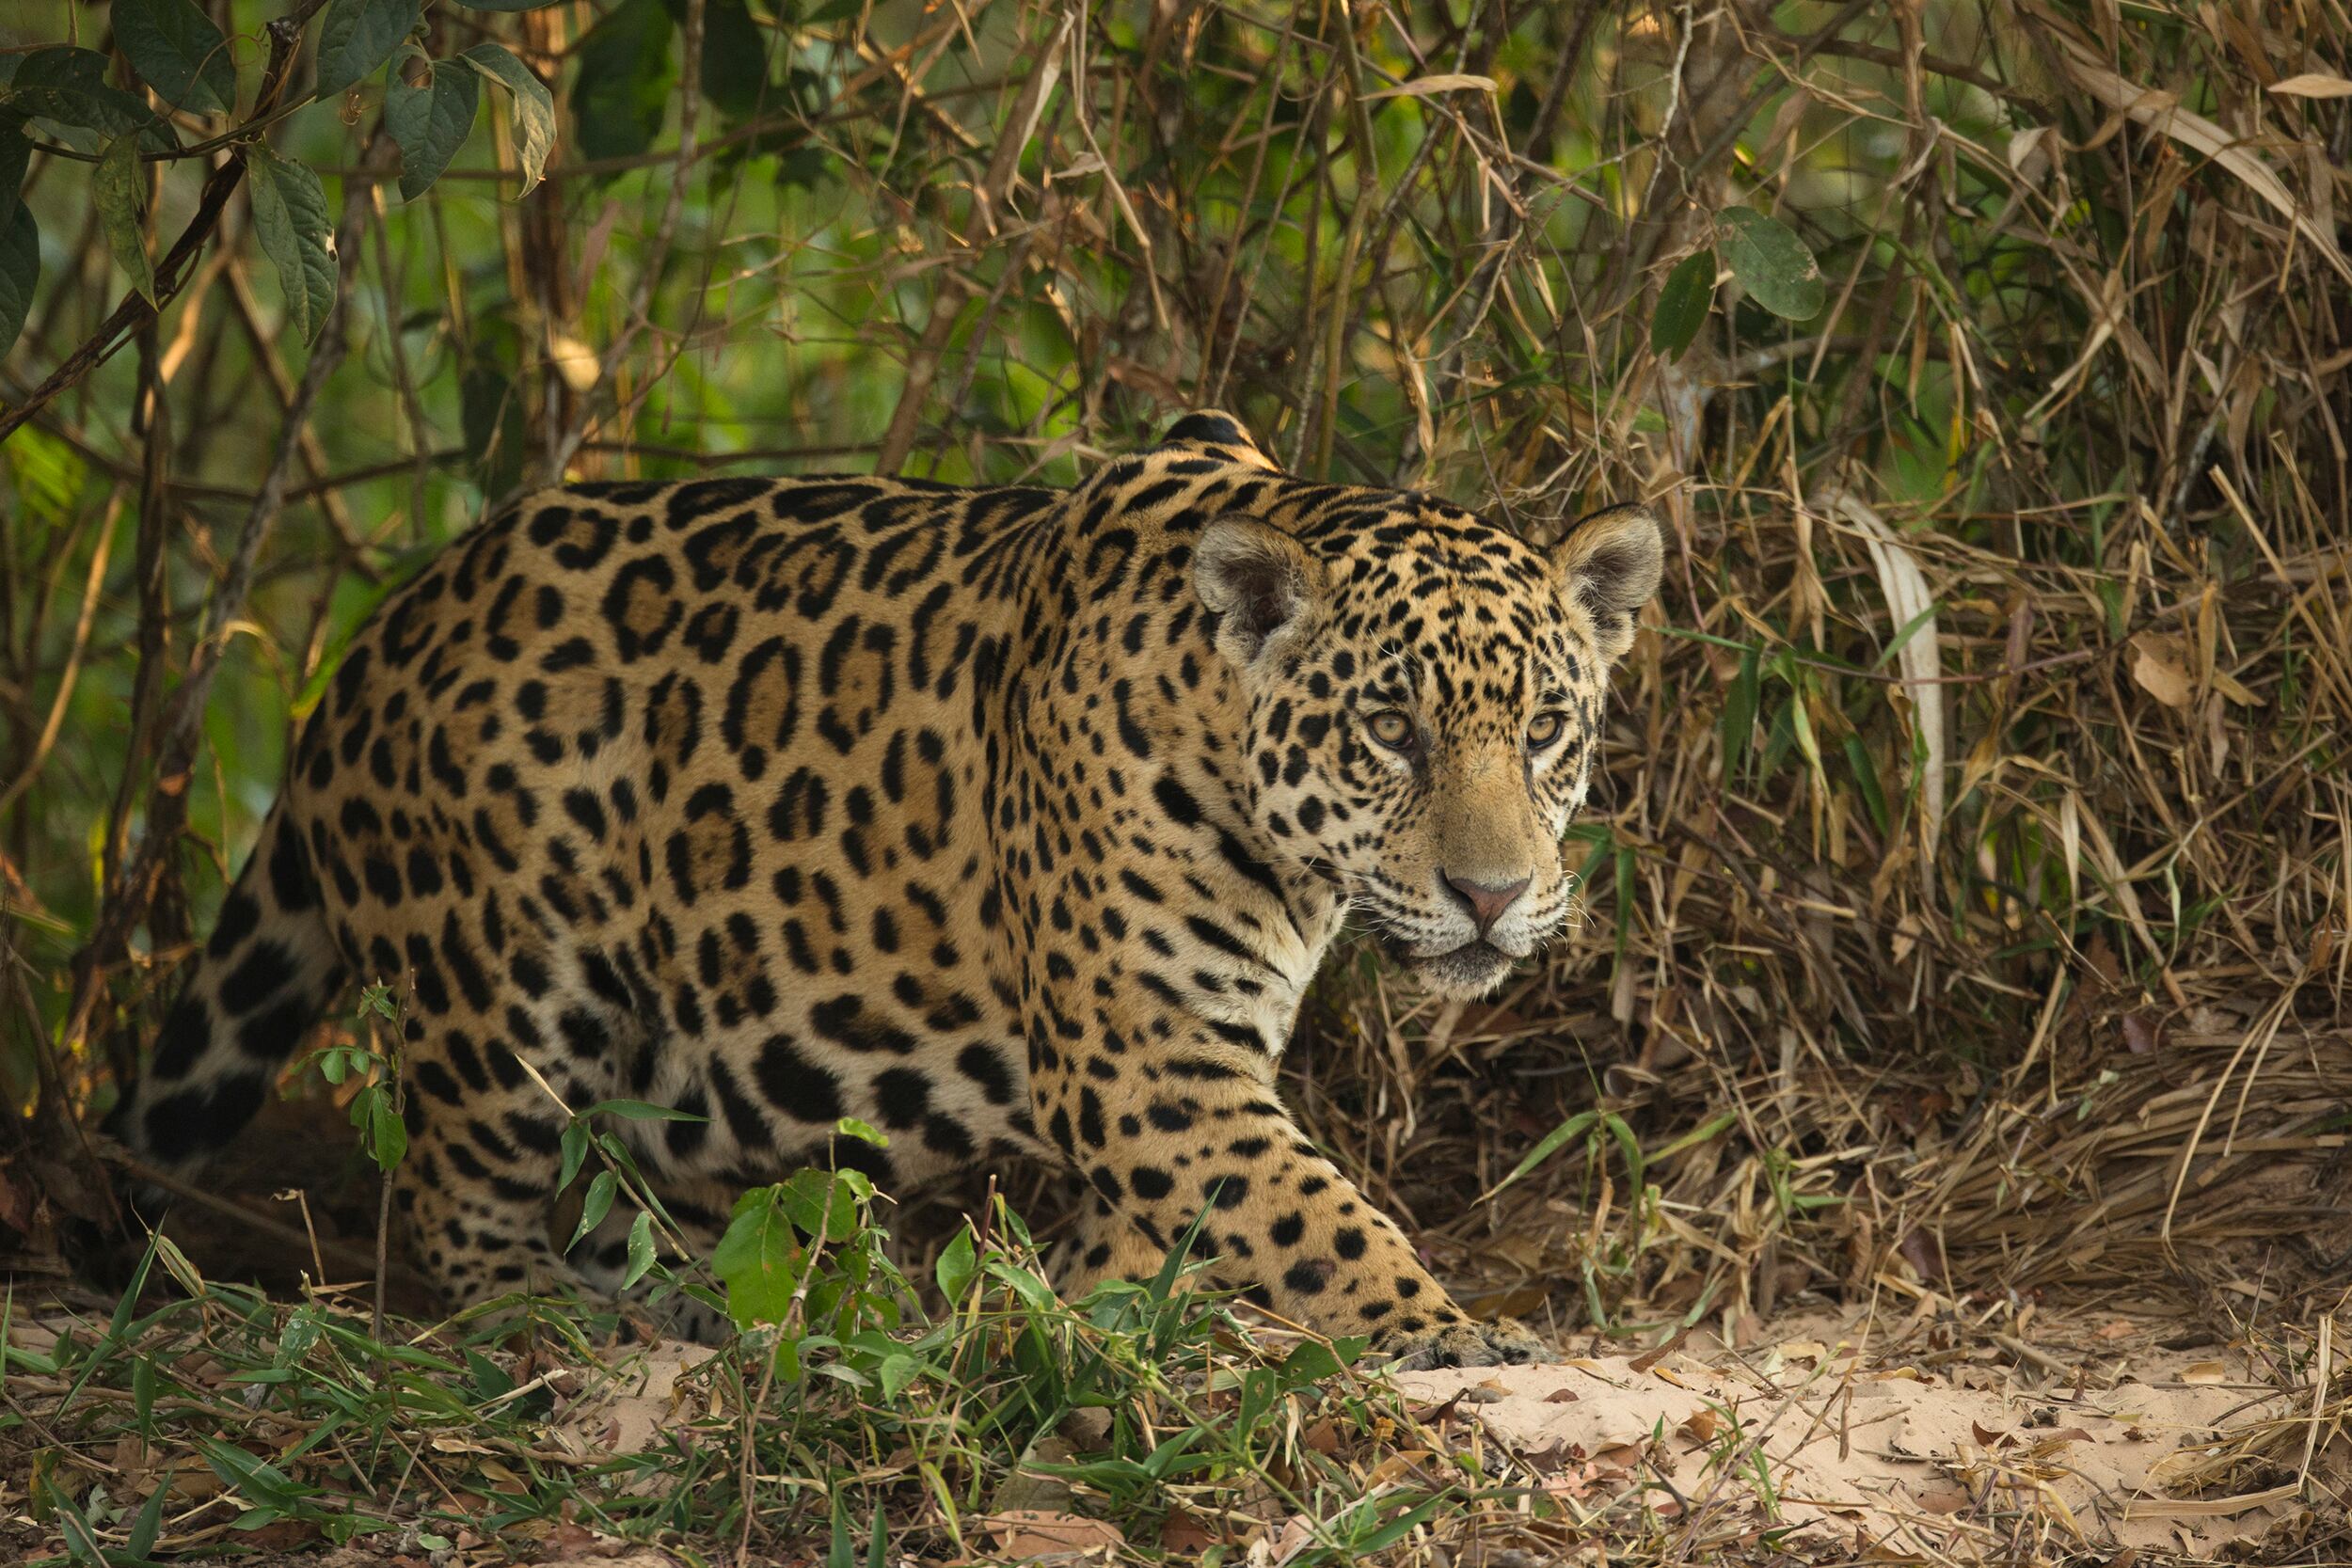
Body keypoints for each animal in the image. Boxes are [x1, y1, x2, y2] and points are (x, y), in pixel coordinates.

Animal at [109, 410, 1663, 1369]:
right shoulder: (1153, 1066)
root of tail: (379, 636)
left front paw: (1055, 1303)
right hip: (505, 981)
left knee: (623, 1184)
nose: (1491, 894)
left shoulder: (1179, 1071)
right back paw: (551, 1319)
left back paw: (703, 1309)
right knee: (457, 1194)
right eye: (1389, 729)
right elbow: (1312, 1210)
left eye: (1544, 728)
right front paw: (1444, 1324)